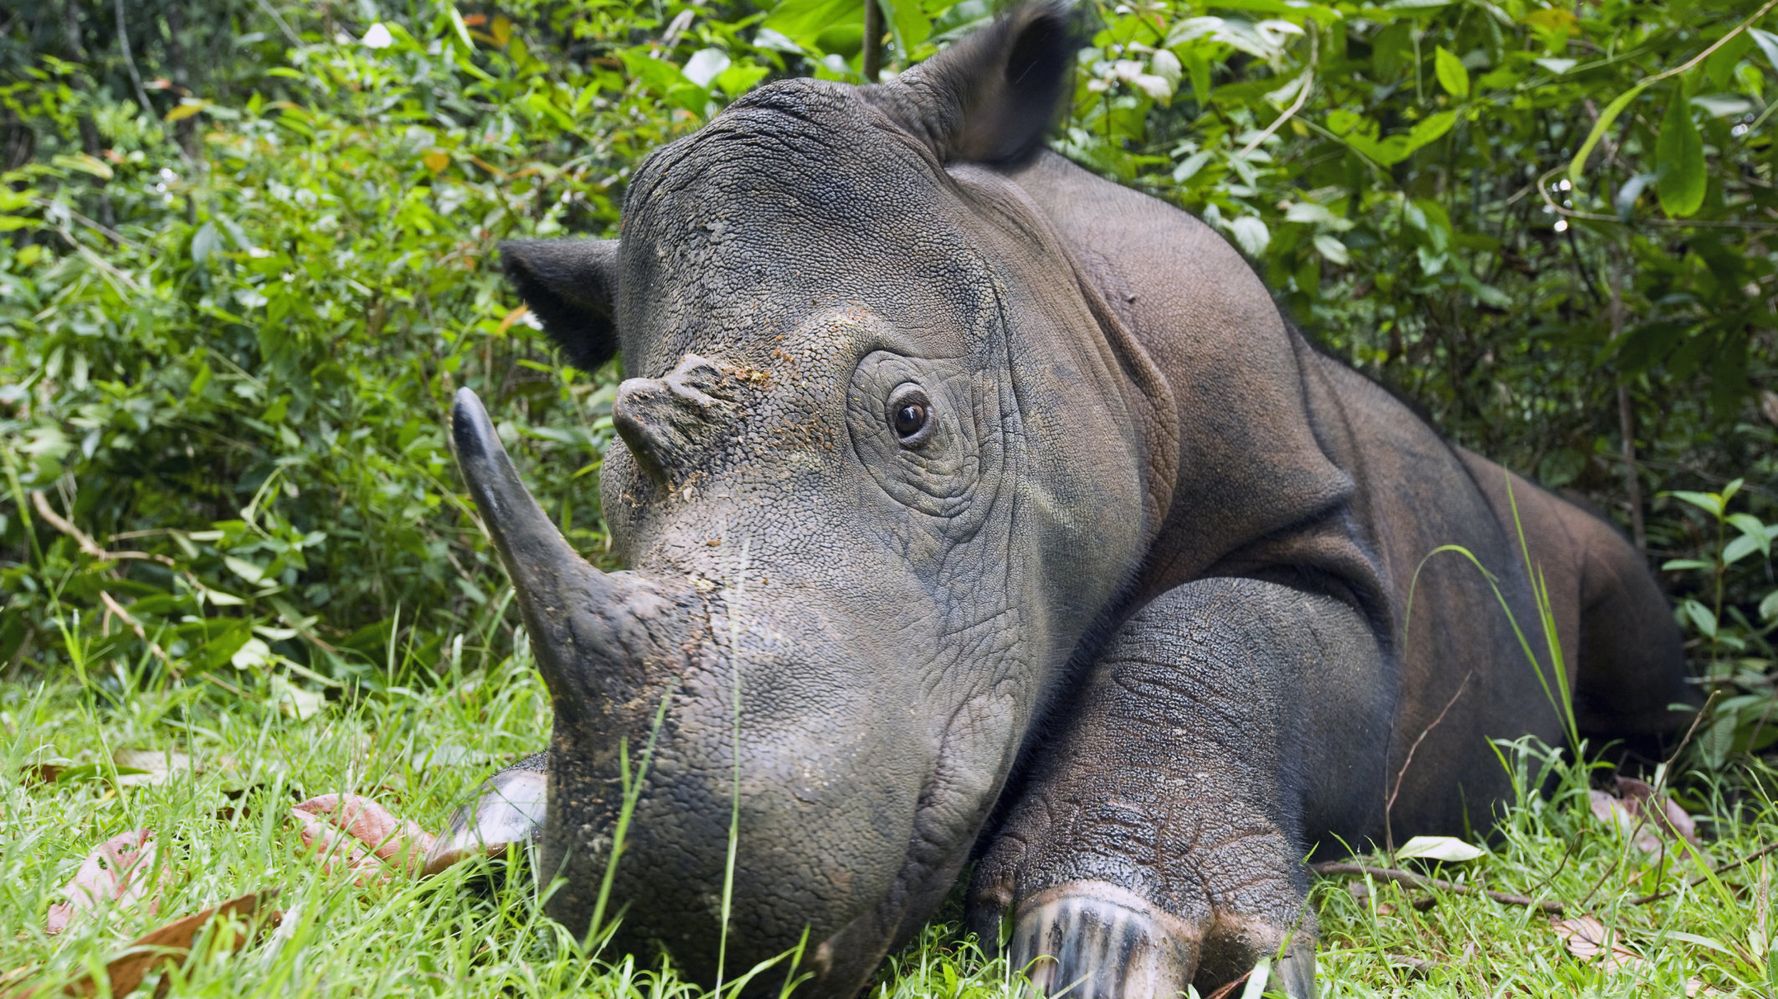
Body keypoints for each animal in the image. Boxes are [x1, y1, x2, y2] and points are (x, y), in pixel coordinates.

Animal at [437, 3, 1685, 988]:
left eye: (910, 419)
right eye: (616, 485)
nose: (667, 898)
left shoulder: (1324, 542)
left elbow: (1221, 626)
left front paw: (1107, 930)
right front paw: (508, 816)